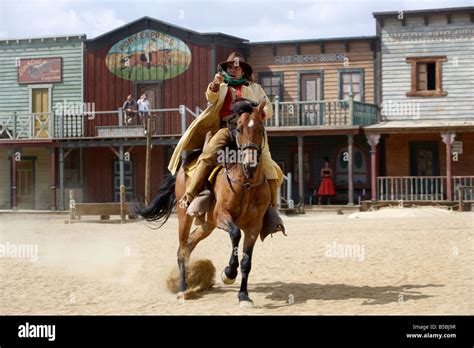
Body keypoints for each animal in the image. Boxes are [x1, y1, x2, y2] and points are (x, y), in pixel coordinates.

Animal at [135, 98, 272, 308]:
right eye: (239, 128)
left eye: (261, 128)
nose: (250, 165)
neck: (246, 183)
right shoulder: (222, 215)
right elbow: (235, 234)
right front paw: (228, 273)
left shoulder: (254, 227)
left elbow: (246, 262)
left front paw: (243, 296)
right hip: (185, 216)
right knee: (182, 250)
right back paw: (183, 289)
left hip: (207, 224)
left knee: (189, 245)